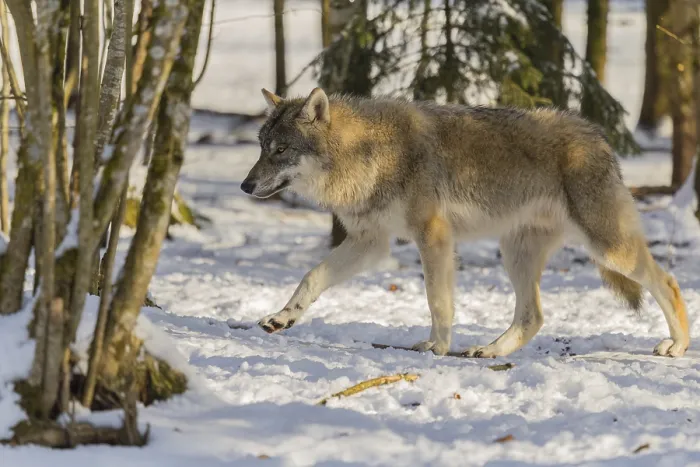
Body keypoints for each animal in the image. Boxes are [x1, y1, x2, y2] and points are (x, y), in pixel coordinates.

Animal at [240, 87, 690, 358]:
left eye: (281, 150)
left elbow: (437, 300)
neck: (368, 154)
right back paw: (490, 351)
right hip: (515, 254)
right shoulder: (372, 242)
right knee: (534, 316)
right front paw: (282, 317)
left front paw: (436, 347)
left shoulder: (433, 236)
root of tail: (599, 136)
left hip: (607, 248)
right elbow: (311, 277)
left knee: (668, 281)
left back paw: (677, 346)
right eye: (261, 147)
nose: (245, 185)